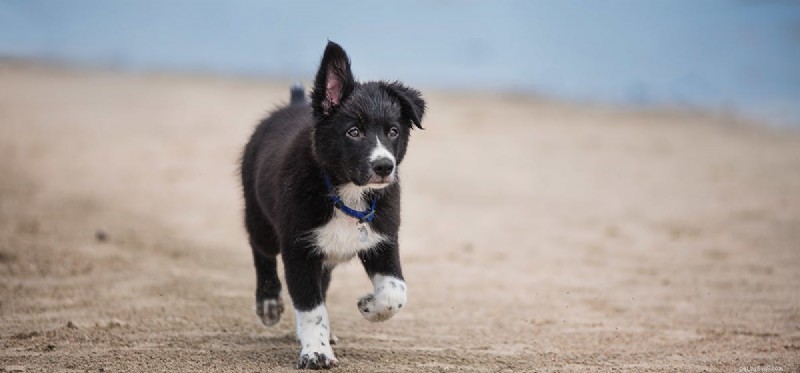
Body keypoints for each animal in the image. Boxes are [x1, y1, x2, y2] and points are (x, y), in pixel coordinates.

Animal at [238, 42, 424, 368]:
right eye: (353, 132)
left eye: (393, 131)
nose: (384, 167)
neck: (347, 193)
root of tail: (293, 104)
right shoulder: (298, 248)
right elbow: (310, 307)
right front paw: (316, 352)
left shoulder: (383, 241)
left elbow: (395, 291)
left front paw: (368, 305)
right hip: (260, 217)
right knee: (261, 251)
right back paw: (269, 302)